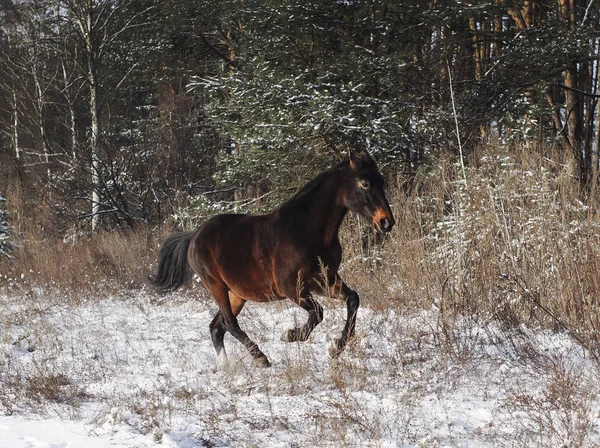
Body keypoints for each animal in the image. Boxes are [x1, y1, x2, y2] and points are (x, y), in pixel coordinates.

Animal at [148, 149, 394, 366]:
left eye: (381, 181)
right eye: (364, 183)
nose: (386, 222)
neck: (308, 232)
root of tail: (194, 236)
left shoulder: (325, 281)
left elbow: (353, 299)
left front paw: (336, 348)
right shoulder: (291, 287)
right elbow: (317, 313)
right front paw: (290, 335)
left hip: (237, 293)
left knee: (217, 327)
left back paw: (226, 368)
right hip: (216, 285)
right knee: (229, 323)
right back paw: (261, 359)